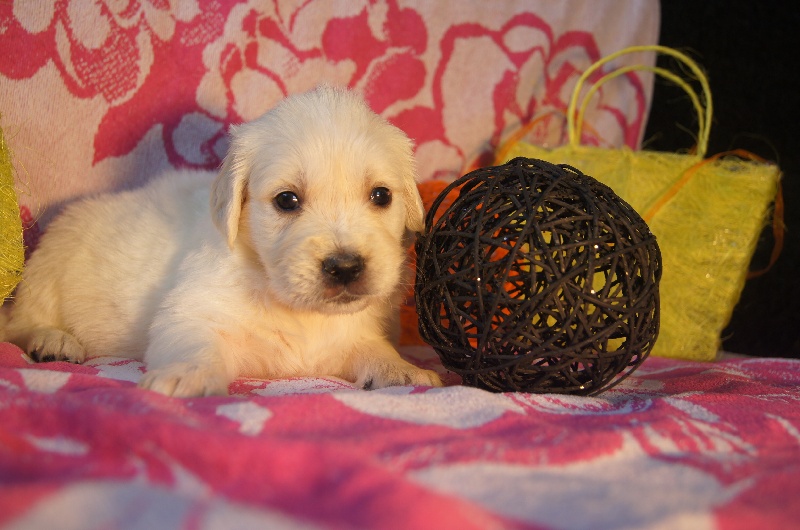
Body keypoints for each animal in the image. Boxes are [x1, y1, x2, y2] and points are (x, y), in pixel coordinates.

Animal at [5, 85, 442, 397]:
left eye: (381, 196)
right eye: (287, 200)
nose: (346, 267)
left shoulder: (354, 332)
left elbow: (373, 349)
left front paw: (405, 370)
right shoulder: (192, 310)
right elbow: (194, 343)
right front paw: (186, 377)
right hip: (50, 261)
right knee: (19, 321)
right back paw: (53, 341)